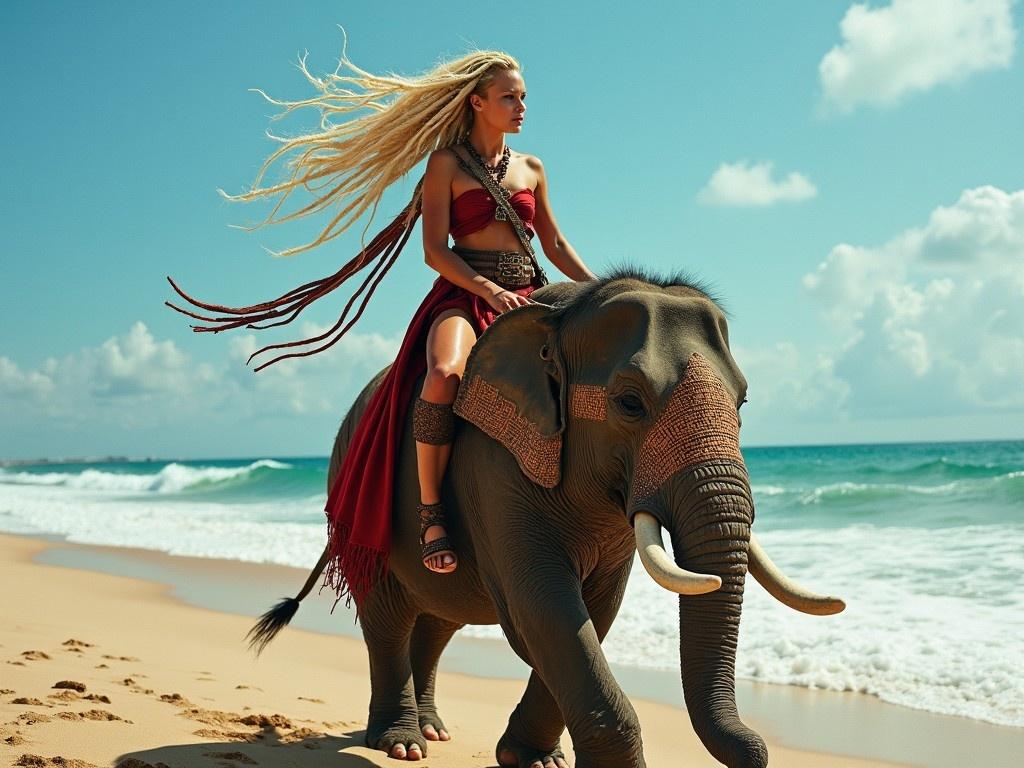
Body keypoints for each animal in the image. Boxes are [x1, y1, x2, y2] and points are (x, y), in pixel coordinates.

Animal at [245, 266, 839, 768]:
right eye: (630, 403)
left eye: (742, 403)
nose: (758, 751)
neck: (565, 314)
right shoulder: (495, 467)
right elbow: (543, 605)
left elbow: (593, 611)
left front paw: (532, 758)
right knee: (388, 617)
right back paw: (402, 744)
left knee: (439, 618)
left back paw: (433, 730)